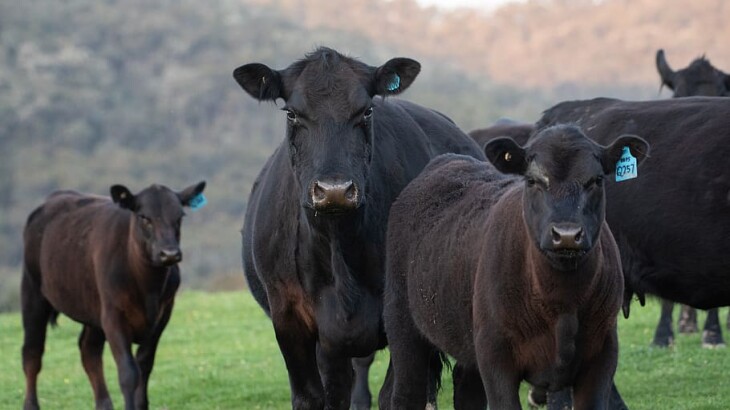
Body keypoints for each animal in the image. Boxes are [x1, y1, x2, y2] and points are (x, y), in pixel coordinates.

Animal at [21, 181, 206, 410]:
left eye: (180, 216)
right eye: (144, 217)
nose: (169, 253)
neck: (148, 288)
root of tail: (54, 197)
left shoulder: (163, 314)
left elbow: (144, 364)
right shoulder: (113, 315)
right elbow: (128, 372)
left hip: (92, 307)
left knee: (89, 351)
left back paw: (104, 404)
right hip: (33, 292)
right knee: (32, 353)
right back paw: (31, 404)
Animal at [235, 47, 484, 410]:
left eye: (366, 111)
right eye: (292, 114)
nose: (334, 190)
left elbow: (395, 397)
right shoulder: (289, 319)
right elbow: (313, 397)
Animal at [380, 124, 649, 410]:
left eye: (596, 180)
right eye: (532, 181)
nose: (566, 235)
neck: (562, 304)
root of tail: (446, 161)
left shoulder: (602, 353)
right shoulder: (495, 355)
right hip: (402, 324)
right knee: (406, 393)